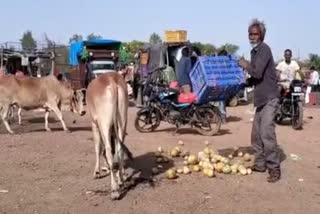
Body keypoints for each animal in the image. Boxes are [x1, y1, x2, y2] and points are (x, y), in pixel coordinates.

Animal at [86, 72, 132, 201]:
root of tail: (111, 79)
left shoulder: (94, 124)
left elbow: (97, 148)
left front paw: (96, 172)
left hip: (104, 123)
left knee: (108, 150)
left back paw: (114, 190)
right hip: (122, 122)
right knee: (119, 149)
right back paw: (121, 181)